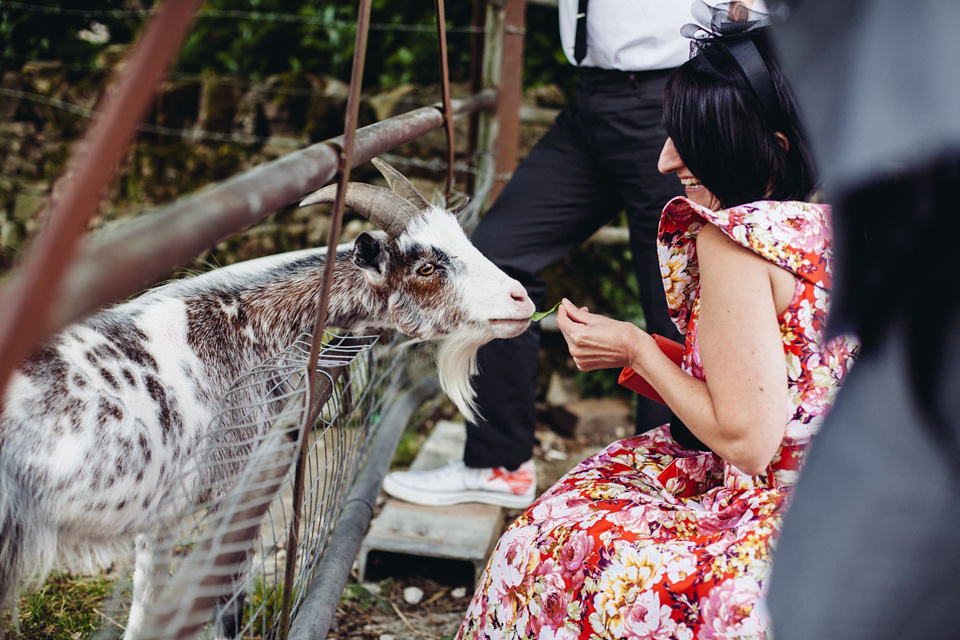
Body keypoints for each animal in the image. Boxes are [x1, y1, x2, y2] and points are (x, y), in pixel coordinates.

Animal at [0, 159, 532, 636]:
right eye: (426, 266)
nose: (521, 299)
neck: (238, 326)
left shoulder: (165, 512)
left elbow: (146, 604)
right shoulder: (236, 494)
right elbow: (227, 610)